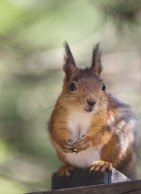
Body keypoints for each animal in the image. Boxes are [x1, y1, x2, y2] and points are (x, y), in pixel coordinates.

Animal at [48, 42, 137, 179]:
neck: (81, 113)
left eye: (103, 86)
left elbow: (100, 133)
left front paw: (86, 142)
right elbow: (56, 130)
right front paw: (63, 142)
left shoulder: (105, 119)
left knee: (112, 158)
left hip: (118, 143)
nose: (92, 101)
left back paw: (102, 163)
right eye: (72, 86)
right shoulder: (58, 117)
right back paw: (66, 168)